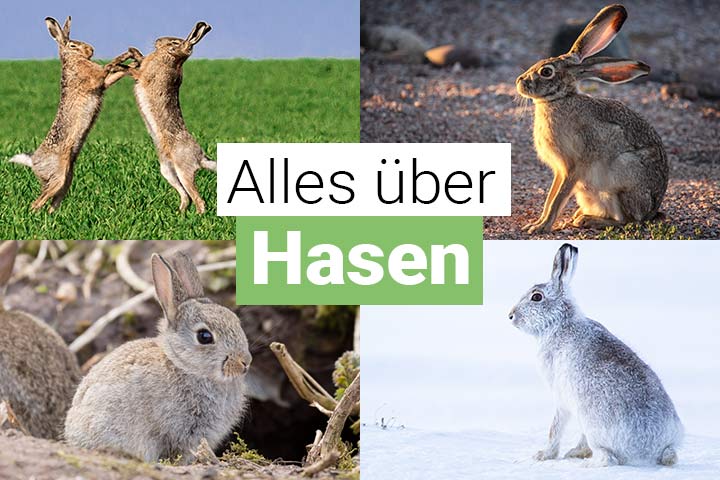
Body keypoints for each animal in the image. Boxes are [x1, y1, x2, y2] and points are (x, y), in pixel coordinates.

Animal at [8, 17, 134, 212]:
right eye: (73, 46)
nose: (91, 50)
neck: (72, 60)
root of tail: (32, 161)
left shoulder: (102, 83)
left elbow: (114, 74)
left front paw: (132, 65)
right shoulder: (94, 77)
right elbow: (107, 67)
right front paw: (126, 56)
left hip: (66, 180)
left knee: (53, 201)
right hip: (59, 176)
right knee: (38, 202)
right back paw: (34, 215)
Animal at [121, 22, 216, 214]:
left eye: (174, 42)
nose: (157, 40)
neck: (174, 58)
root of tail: (200, 157)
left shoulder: (144, 74)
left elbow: (133, 71)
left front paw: (121, 64)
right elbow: (139, 59)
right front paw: (133, 51)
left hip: (183, 170)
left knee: (198, 200)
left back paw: (197, 217)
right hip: (167, 171)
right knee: (186, 197)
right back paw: (179, 214)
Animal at [508, 243, 683, 467]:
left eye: (536, 297)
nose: (511, 316)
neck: (560, 323)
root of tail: (652, 451)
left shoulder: (561, 396)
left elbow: (555, 429)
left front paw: (543, 455)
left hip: (594, 426)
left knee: (608, 458)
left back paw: (586, 464)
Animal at [515, 4, 668, 233]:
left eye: (546, 71)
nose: (519, 82)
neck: (560, 99)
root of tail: (652, 211)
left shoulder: (575, 166)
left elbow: (558, 198)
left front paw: (541, 227)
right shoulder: (560, 170)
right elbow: (551, 197)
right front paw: (536, 222)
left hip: (622, 179)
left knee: (628, 220)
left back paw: (587, 220)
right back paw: (581, 215)